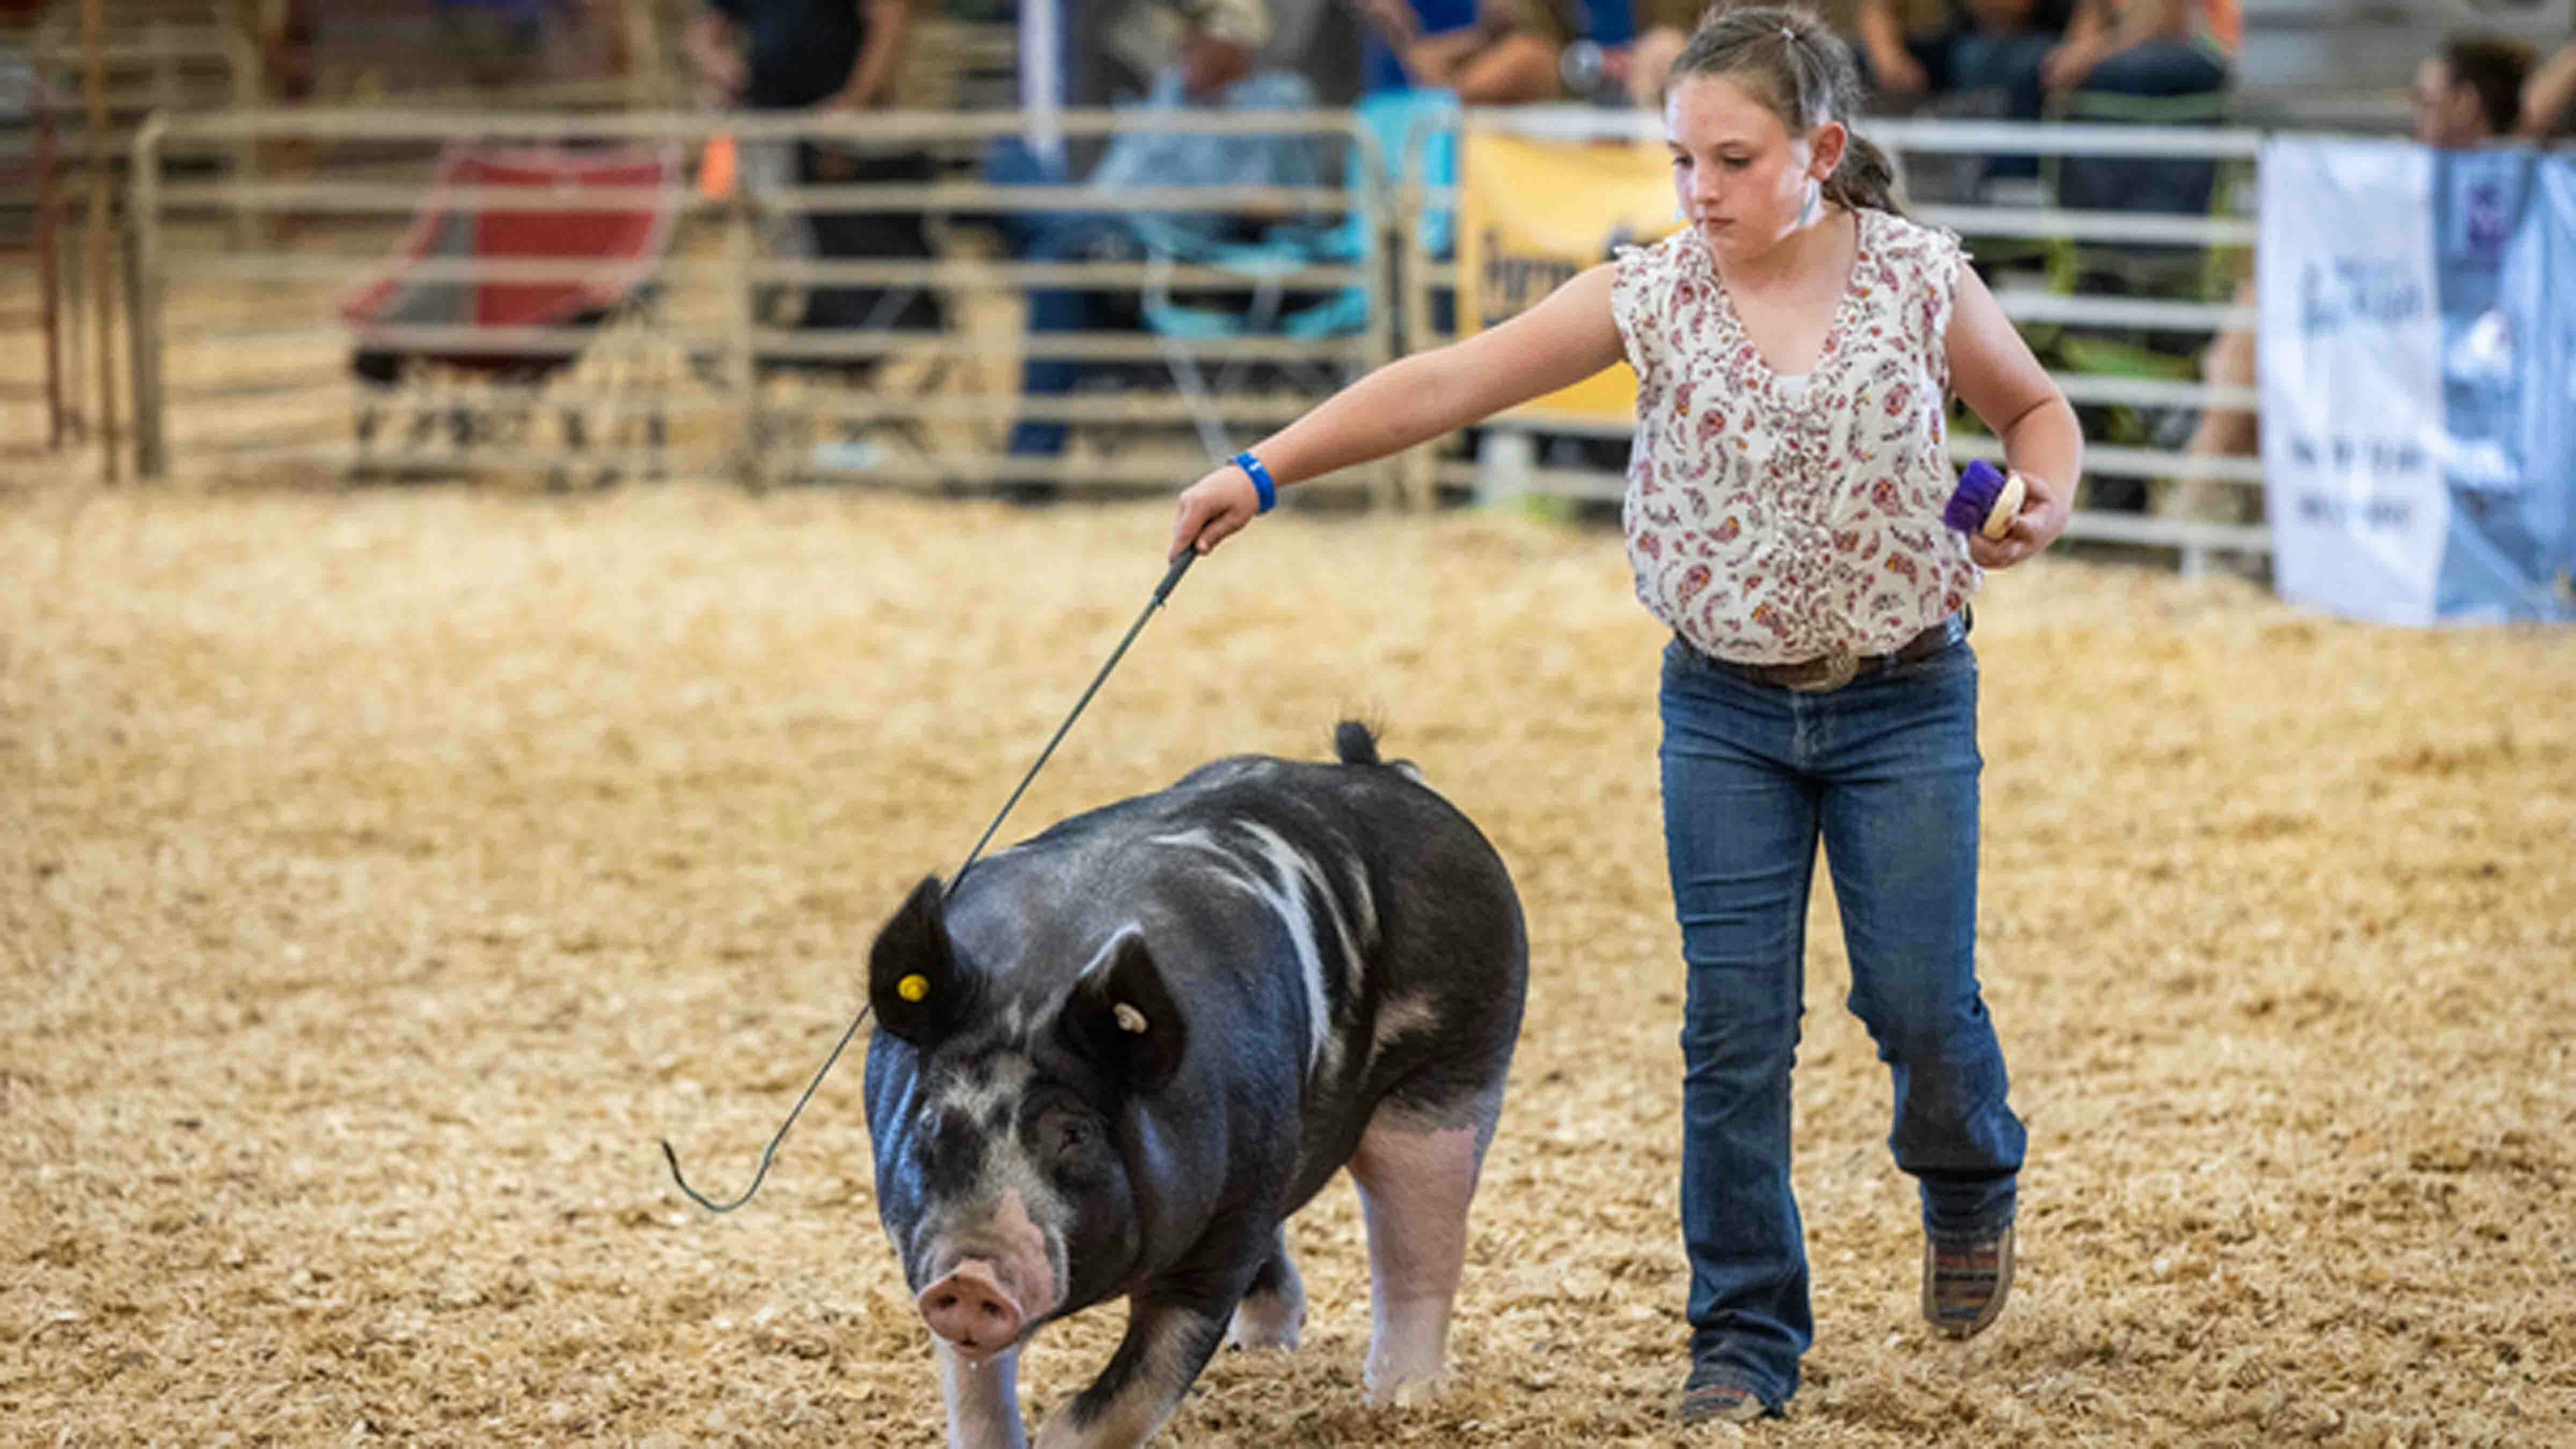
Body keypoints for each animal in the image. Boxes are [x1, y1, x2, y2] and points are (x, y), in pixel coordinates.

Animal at [855, 722, 1525, 1444]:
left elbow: (1133, 1393)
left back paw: (1401, 1401)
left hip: (1457, 1073)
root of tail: (1382, 772)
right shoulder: (924, 1243)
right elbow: (975, 1392)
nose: (974, 1274)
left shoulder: (1223, 1234)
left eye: (1076, 1132)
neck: (1035, 987)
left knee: (1418, 1241)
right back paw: (1260, 1349)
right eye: (930, 1124)